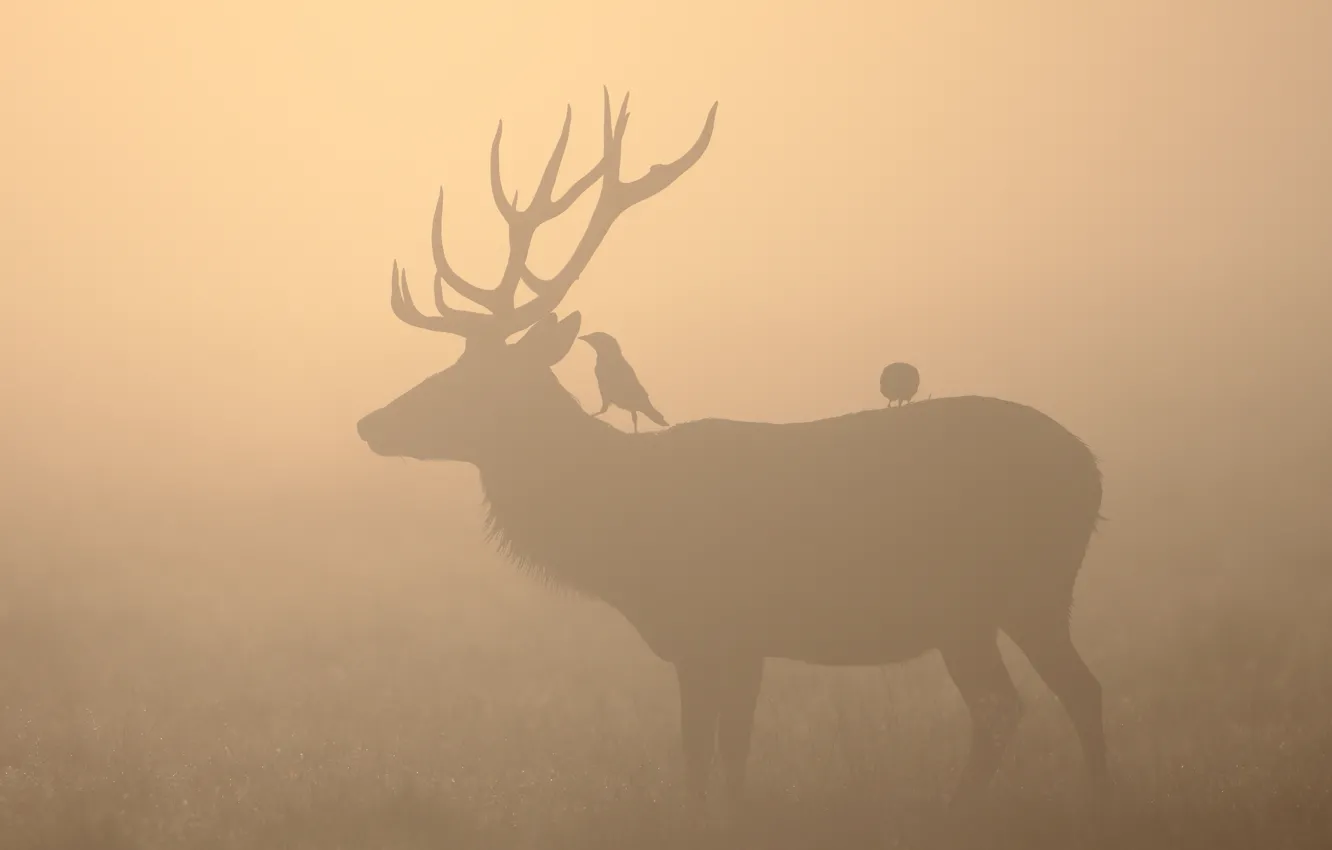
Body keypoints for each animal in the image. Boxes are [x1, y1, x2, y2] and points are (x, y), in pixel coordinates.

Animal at [356, 89, 1110, 808]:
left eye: (474, 380)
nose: (370, 423)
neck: (623, 546)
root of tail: (1094, 470)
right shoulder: (720, 642)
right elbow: (717, 756)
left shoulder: (726, 626)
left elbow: (712, 757)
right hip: (1020, 599)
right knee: (1072, 690)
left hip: (995, 593)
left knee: (1016, 703)